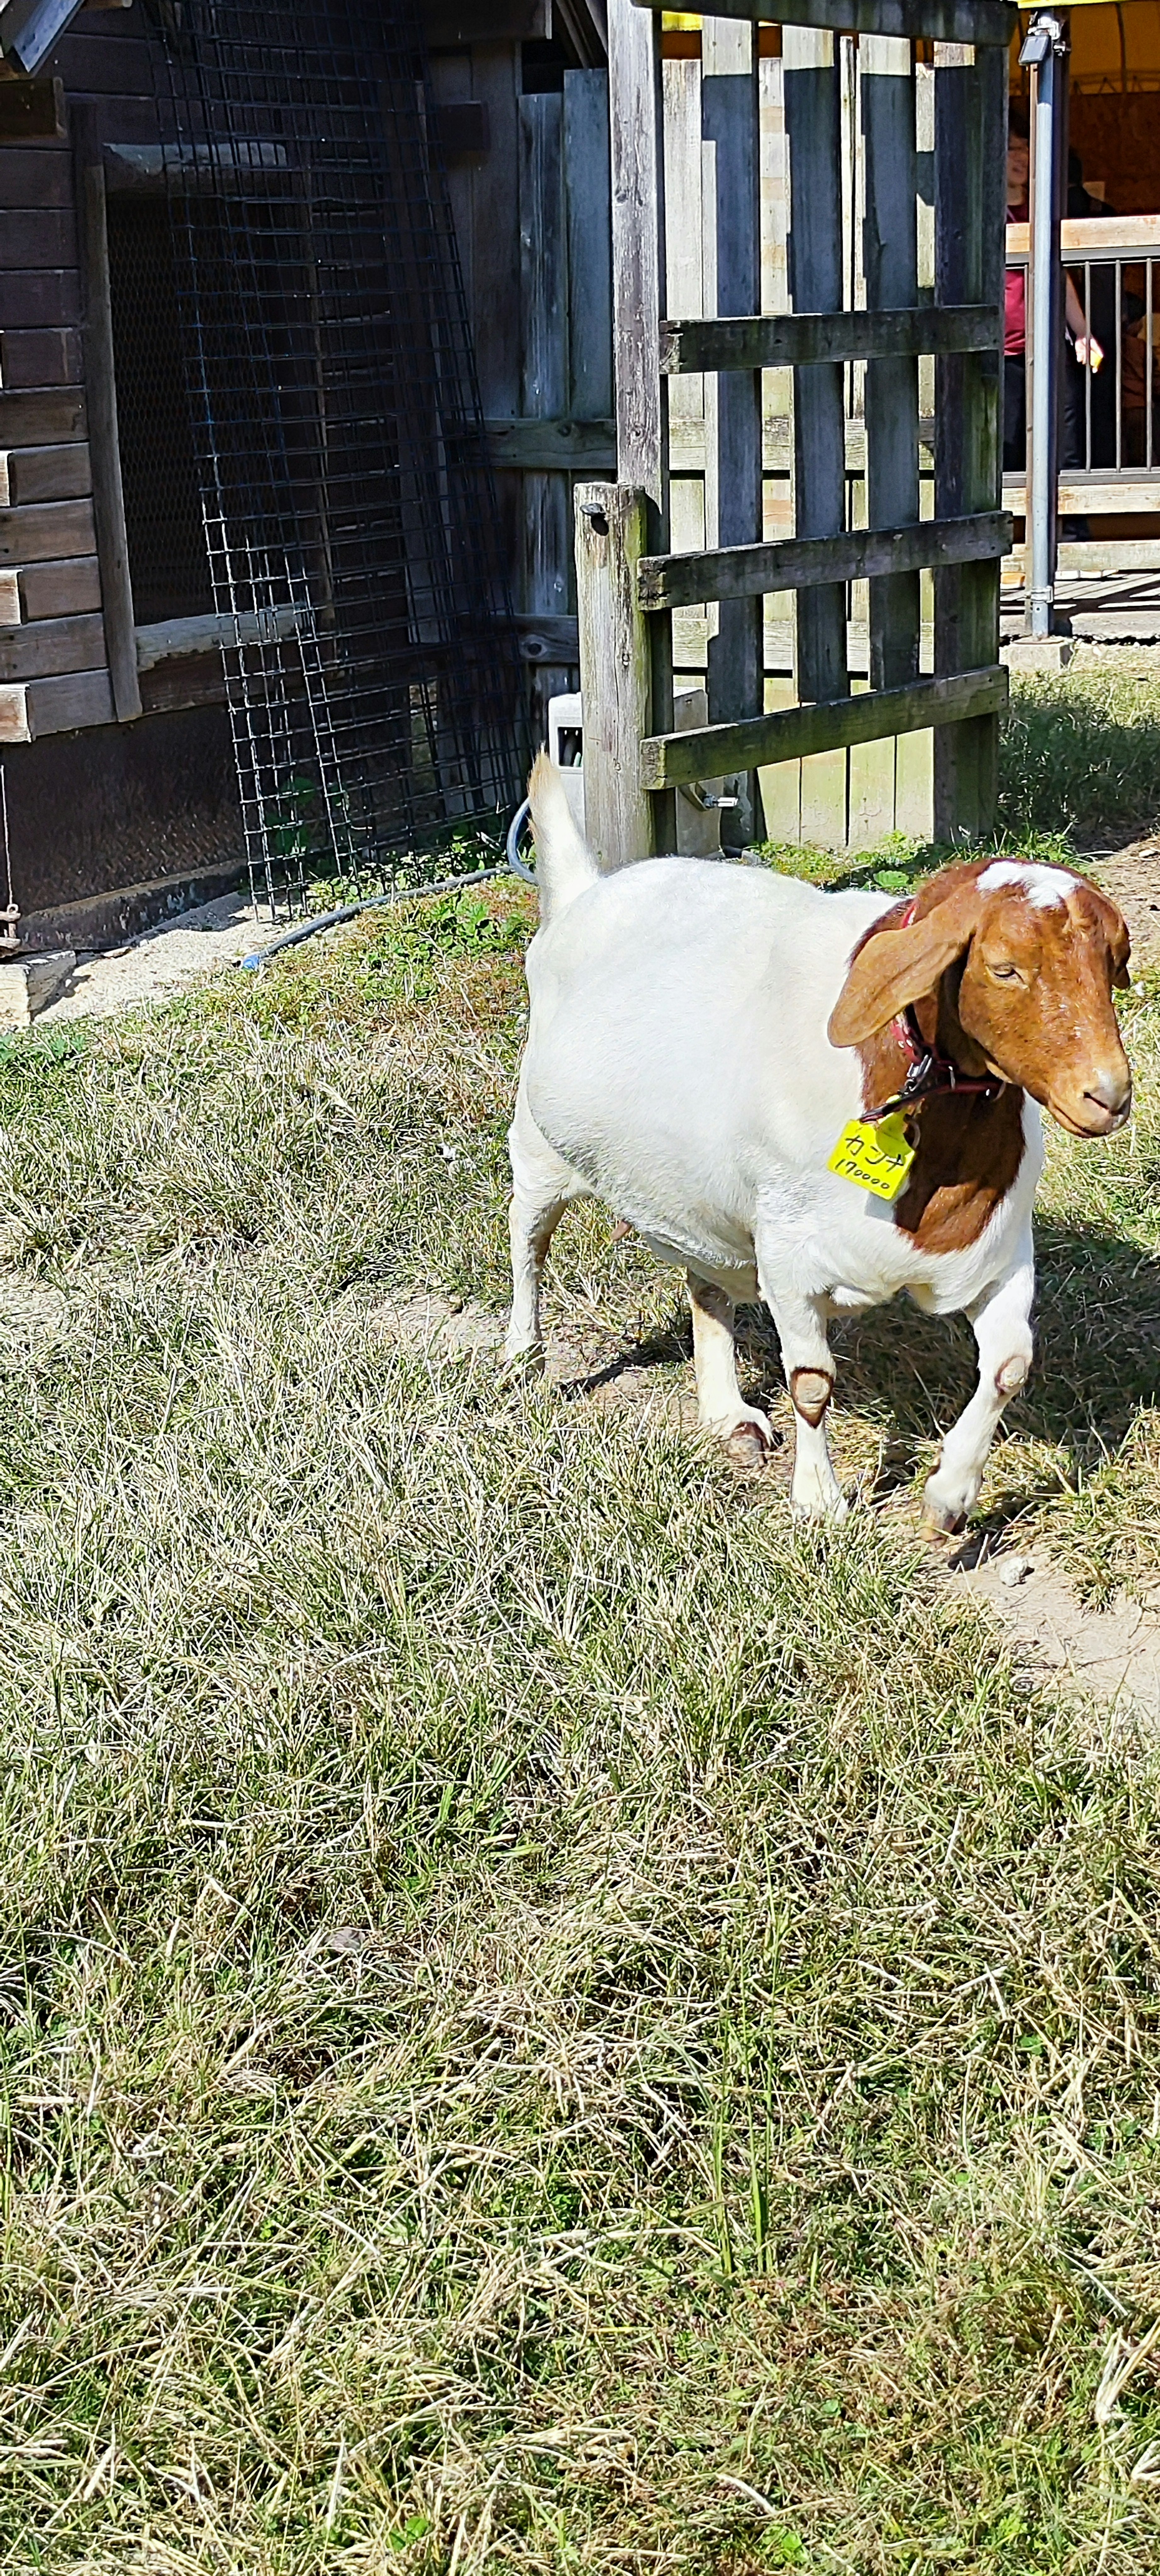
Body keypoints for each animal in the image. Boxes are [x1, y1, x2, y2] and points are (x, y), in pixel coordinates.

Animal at [503, 752, 1129, 1535]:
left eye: (1111, 965)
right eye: (1004, 967)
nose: (1107, 1096)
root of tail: (586, 892)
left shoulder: (999, 1247)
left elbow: (1010, 1364)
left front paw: (950, 1495)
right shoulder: (789, 1255)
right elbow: (810, 1384)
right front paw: (819, 1499)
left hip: (697, 1199)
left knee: (705, 1284)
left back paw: (727, 1415)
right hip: (538, 1147)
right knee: (528, 1242)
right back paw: (523, 1360)